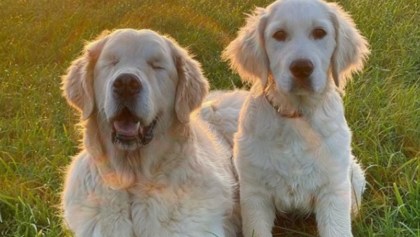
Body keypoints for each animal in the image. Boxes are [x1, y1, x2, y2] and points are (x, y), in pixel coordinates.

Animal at [221, 0, 370, 236]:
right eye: (279, 35)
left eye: (320, 33)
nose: (301, 67)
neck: (296, 116)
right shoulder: (255, 193)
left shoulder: (333, 188)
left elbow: (337, 228)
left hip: (352, 172)